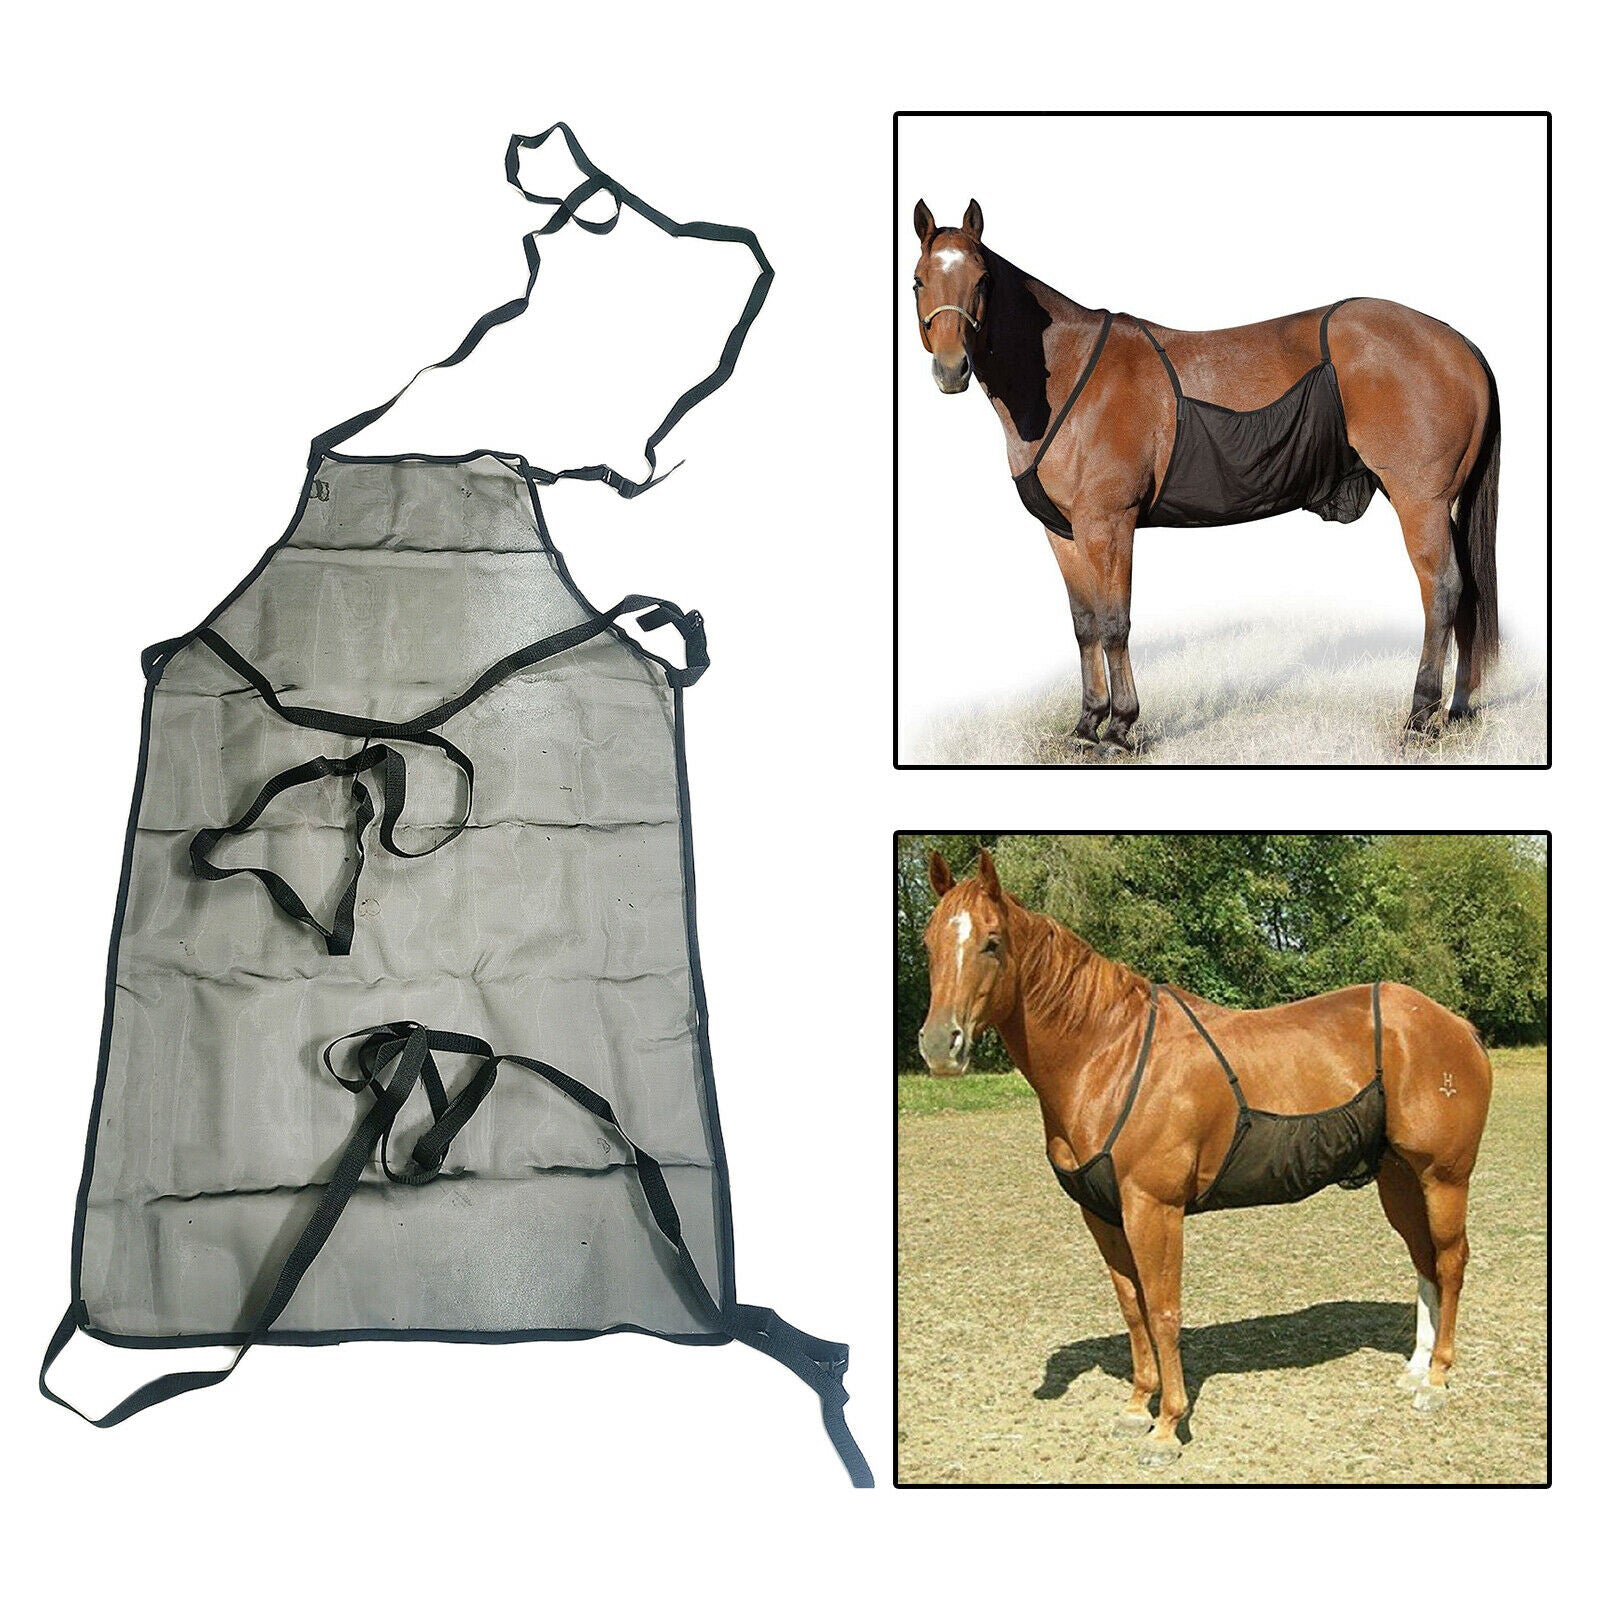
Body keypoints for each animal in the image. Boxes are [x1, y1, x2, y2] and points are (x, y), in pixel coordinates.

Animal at [910, 199, 1501, 752]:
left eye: (982, 281)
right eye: (917, 279)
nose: (952, 368)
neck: (1066, 376)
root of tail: (1459, 344)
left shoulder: (1109, 524)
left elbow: (1114, 622)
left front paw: (1120, 728)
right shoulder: (1064, 531)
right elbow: (1084, 625)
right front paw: (1086, 724)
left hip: (1421, 502)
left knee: (1443, 590)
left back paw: (1420, 717)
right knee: (1467, 591)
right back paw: (1458, 709)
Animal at [917, 848, 1493, 1468]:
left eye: (992, 942)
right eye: (928, 942)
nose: (939, 1045)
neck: (1109, 1054)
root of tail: (1457, 1025)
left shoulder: (1154, 1208)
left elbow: (1164, 1310)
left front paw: (1168, 1426)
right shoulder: (1103, 1213)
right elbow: (1132, 1306)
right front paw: (1135, 1407)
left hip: (1443, 1177)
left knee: (1451, 1262)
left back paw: (1438, 1380)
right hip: (1400, 1180)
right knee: (1424, 1261)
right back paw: (1416, 1369)